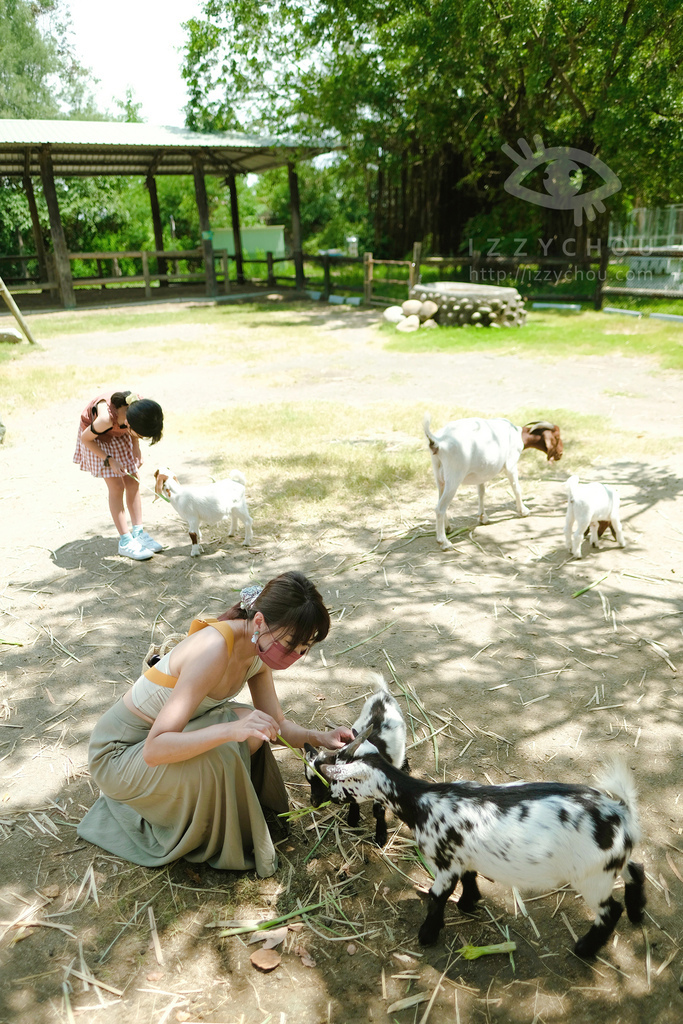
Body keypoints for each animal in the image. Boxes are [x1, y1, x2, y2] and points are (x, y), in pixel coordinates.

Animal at [307, 671, 409, 847]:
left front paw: (381, 835)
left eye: (324, 780)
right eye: (309, 781)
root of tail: (382, 694)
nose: (314, 803)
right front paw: (353, 818)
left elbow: (378, 811)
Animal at [317, 733, 643, 954]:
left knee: (610, 911)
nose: (326, 797)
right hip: (607, 866)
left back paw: (585, 949)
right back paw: (638, 912)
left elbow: (437, 897)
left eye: (337, 778)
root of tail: (620, 814)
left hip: (591, 877)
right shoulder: (464, 856)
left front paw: (427, 935)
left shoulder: (445, 863)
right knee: (636, 870)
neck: (422, 801)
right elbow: (470, 878)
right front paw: (468, 903)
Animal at [423, 413, 565, 548]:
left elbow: (481, 492)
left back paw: (447, 528)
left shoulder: (481, 473)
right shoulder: (511, 464)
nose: (560, 454)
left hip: (439, 476)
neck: (517, 434)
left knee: (440, 500)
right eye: (557, 437)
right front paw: (523, 511)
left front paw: (483, 517)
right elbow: (516, 489)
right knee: (440, 508)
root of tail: (438, 442)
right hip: (454, 476)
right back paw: (444, 542)